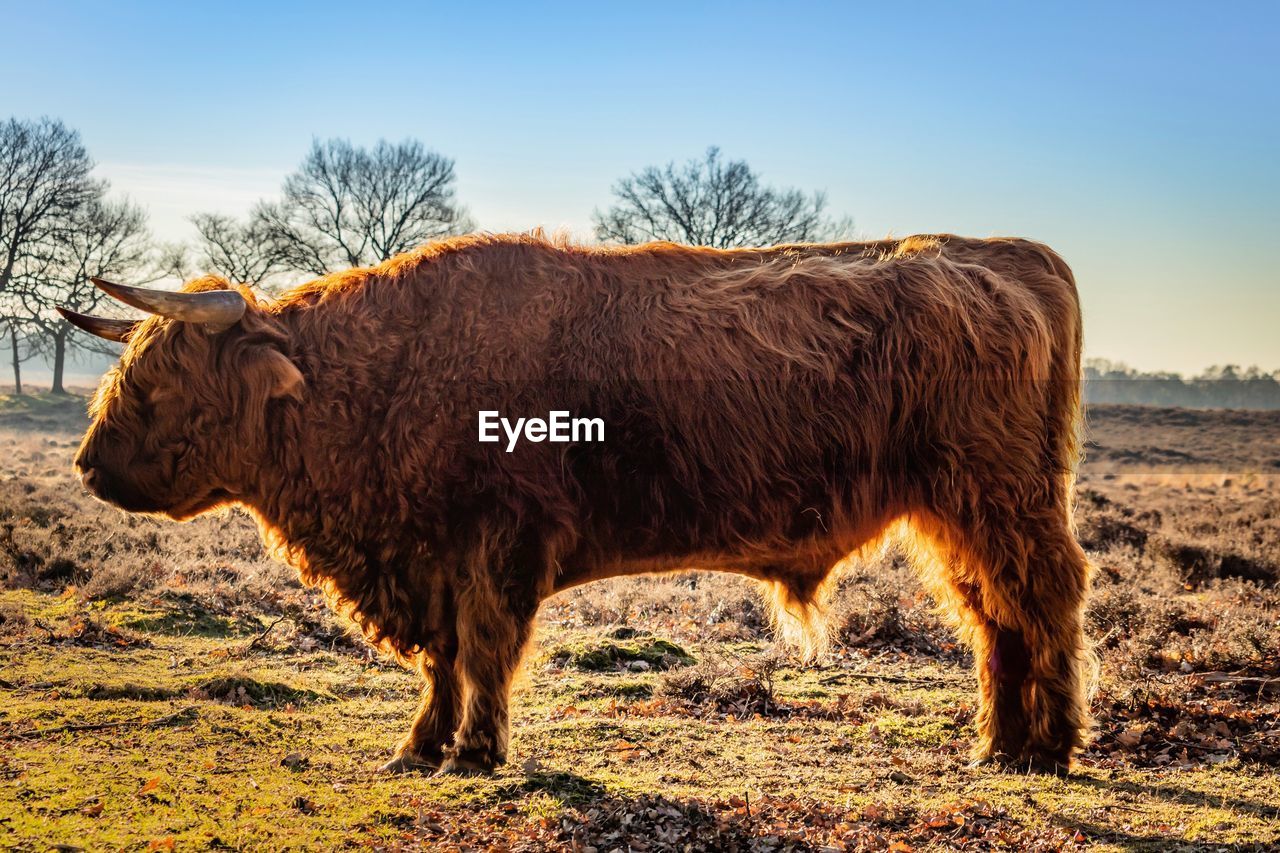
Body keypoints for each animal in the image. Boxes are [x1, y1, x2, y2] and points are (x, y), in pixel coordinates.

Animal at [62, 230, 1090, 768]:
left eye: (156, 380)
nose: (88, 466)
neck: (385, 374)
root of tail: (1005, 251)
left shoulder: (494, 543)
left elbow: (481, 649)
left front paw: (475, 751)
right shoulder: (433, 555)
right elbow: (442, 659)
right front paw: (421, 746)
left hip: (1003, 499)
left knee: (1044, 601)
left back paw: (1053, 743)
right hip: (958, 513)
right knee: (993, 615)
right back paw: (1000, 747)